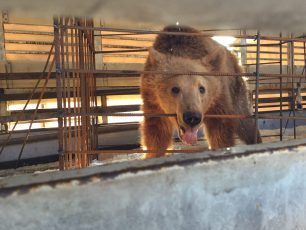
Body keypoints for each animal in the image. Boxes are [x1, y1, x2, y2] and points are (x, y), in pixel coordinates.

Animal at [140, 25, 262, 158]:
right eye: (175, 89)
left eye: (202, 88)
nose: (192, 117)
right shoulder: (153, 101)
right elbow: (156, 134)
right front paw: (152, 155)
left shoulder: (219, 98)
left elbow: (220, 132)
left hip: (237, 88)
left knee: (245, 122)